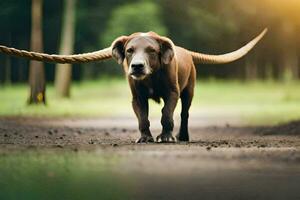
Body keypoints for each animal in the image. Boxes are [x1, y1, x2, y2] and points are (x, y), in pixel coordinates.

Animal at [111, 29, 266, 143]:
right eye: (129, 50)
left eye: (151, 50)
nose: (137, 66)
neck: (151, 76)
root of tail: (186, 51)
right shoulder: (137, 97)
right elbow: (143, 117)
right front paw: (145, 138)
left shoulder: (173, 92)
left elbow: (167, 113)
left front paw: (166, 137)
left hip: (189, 91)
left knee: (184, 113)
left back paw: (183, 136)